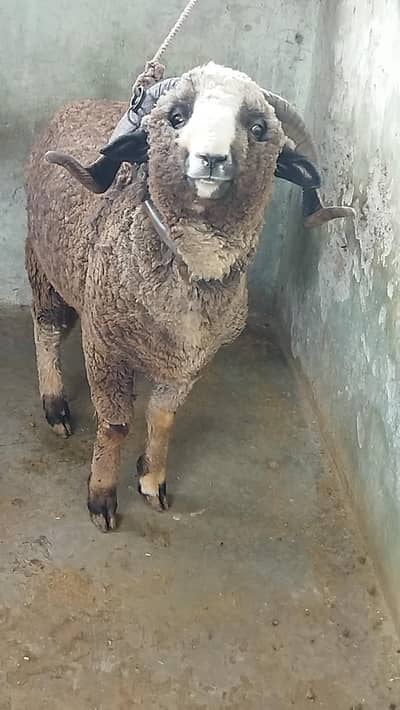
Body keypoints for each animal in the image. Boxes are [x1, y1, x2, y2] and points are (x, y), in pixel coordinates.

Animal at [26, 62, 331, 531]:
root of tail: (80, 103)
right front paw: (102, 498)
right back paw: (56, 405)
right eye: (176, 117)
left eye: (258, 127)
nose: (212, 159)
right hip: (42, 262)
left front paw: (152, 480)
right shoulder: (104, 345)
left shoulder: (193, 362)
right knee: (47, 329)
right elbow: (115, 423)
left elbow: (163, 417)